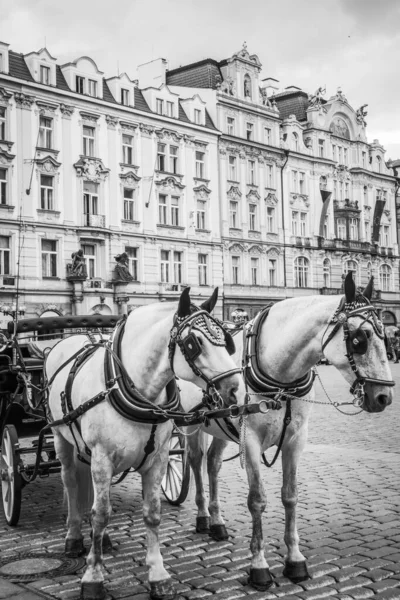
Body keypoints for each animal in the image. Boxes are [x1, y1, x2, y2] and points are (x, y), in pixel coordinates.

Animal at [44, 288, 244, 596]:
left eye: (226, 339)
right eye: (194, 343)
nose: (236, 391)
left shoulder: (157, 459)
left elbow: (151, 513)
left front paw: (158, 574)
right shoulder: (102, 458)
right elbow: (100, 514)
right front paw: (93, 577)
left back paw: (103, 540)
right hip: (61, 439)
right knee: (71, 482)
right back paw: (74, 537)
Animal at [180, 276, 394, 592]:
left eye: (385, 337)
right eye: (359, 339)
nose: (384, 397)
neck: (281, 376)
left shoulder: (296, 440)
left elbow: (290, 496)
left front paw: (295, 560)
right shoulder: (250, 441)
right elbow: (257, 500)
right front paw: (259, 566)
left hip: (220, 428)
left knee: (213, 464)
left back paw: (217, 522)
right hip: (191, 425)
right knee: (195, 462)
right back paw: (204, 516)